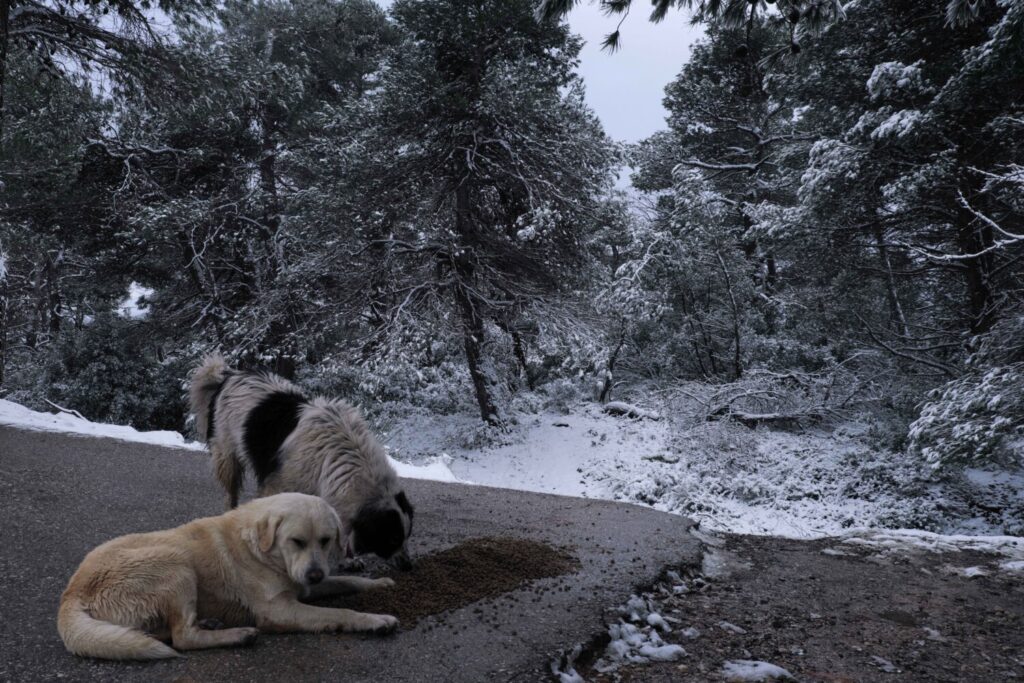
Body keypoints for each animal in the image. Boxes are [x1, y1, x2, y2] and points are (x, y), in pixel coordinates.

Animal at [57, 493, 399, 659]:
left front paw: (379, 583)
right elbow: (341, 612)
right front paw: (376, 620)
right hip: (176, 564)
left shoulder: (305, 586)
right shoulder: (280, 609)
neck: (262, 549)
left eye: (326, 540)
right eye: (297, 541)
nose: (314, 574)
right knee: (182, 638)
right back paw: (237, 635)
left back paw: (211, 623)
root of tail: (71, 593)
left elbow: (347, 581)